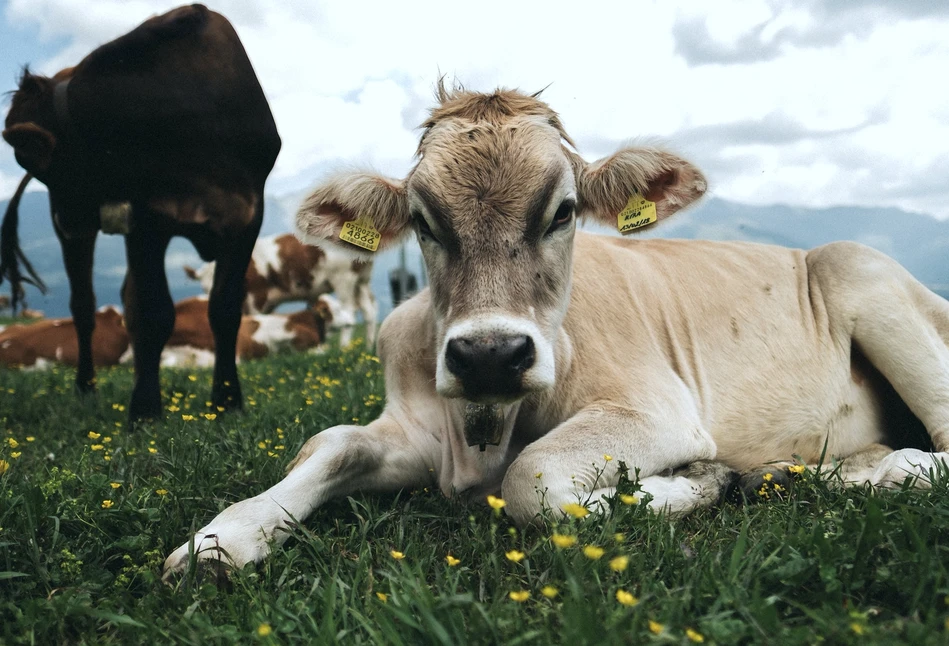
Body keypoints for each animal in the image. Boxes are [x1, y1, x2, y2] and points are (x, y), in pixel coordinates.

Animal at [185, 232, 378, 346]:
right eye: (205, 287)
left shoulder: (258, 295)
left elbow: (256, 318)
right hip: (362, 281)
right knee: (368, 311)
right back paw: (369, 346)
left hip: (344, 279)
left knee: (350, 311)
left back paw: (344, 347)